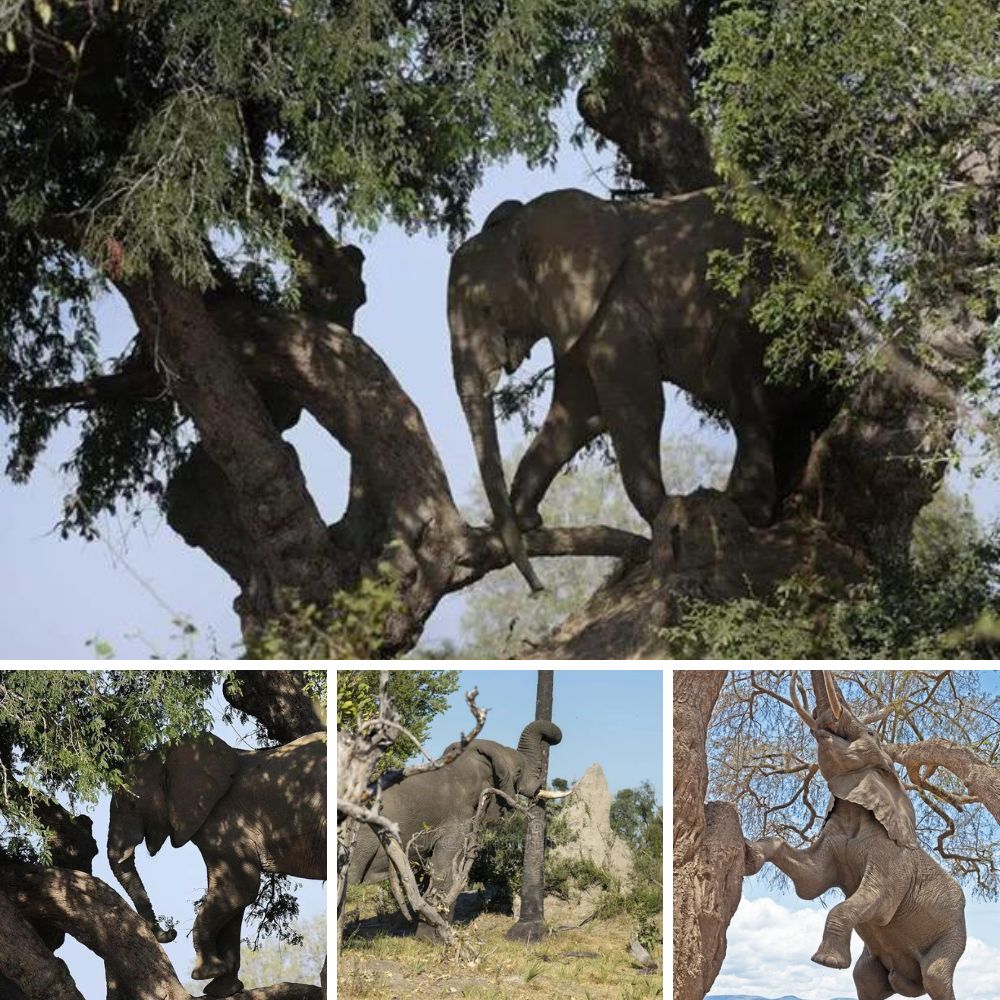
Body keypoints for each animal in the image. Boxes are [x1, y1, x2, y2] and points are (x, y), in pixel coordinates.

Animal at [109, 732, 328, 996]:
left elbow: (239, 888)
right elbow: (231, 898)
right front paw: (224, 988)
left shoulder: (227, 822)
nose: (169, 932)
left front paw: (206, 973)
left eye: (132, 804)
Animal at [344, 720, 564, 936]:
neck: (465, 764)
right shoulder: (456, 820)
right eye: (518, 771)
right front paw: (431, 938)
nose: (554, 739)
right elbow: (446, 864)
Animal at [450, 185, 776, 588]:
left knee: (742, 391)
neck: (525, 228)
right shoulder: (573, 315)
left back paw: (745, 507)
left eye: (486, 309)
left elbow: (635, 405)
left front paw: (666, 516)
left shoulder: (613, 306)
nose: (539, 590)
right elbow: (578, 414)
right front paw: (526, 517)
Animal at [748, 672, 964, 1000]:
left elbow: (876, 900)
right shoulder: (832, 839)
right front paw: (749, 855)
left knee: (936, 977)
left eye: (871, 734)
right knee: (865, 979)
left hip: (953, 934)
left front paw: (825, 962)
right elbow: (811, 879)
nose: (819, 720)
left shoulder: (893, 859)